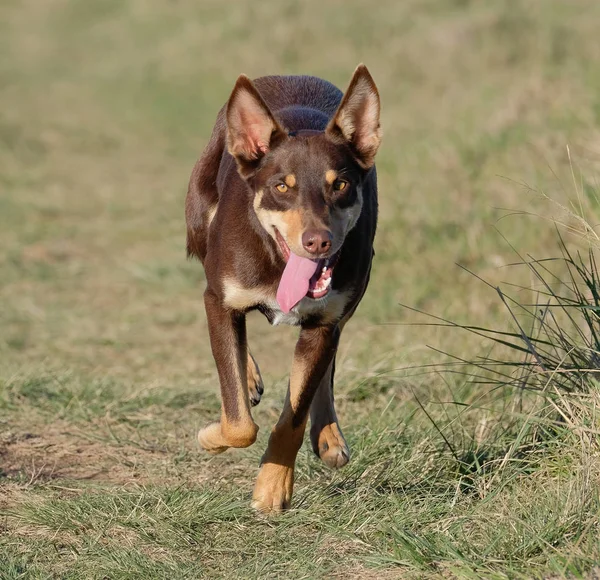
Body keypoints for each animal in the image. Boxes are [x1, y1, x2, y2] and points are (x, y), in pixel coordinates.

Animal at [186, 63, 380, 512]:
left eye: (340, 185)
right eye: (281, 186)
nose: (318, 241)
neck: (277, 263)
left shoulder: (325, 320)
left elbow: (294, 413)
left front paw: (273, 486)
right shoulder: (219, 299)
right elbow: (238, 422)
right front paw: (212, 436)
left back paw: (328, 435)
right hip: (199, 225)